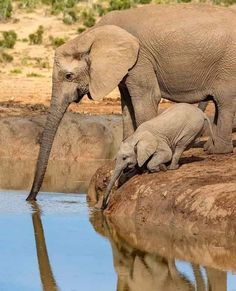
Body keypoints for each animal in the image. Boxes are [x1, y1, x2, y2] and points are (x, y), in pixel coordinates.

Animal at [26, 4, 235, 201]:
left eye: (68, 76)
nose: (31, 199)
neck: (92, 34)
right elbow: (126, 105)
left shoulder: (140, 59)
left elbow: (147, 97)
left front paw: (142, 167)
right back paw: (211, 148)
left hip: (228, 65)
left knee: (224, 102)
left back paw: (217, 150)